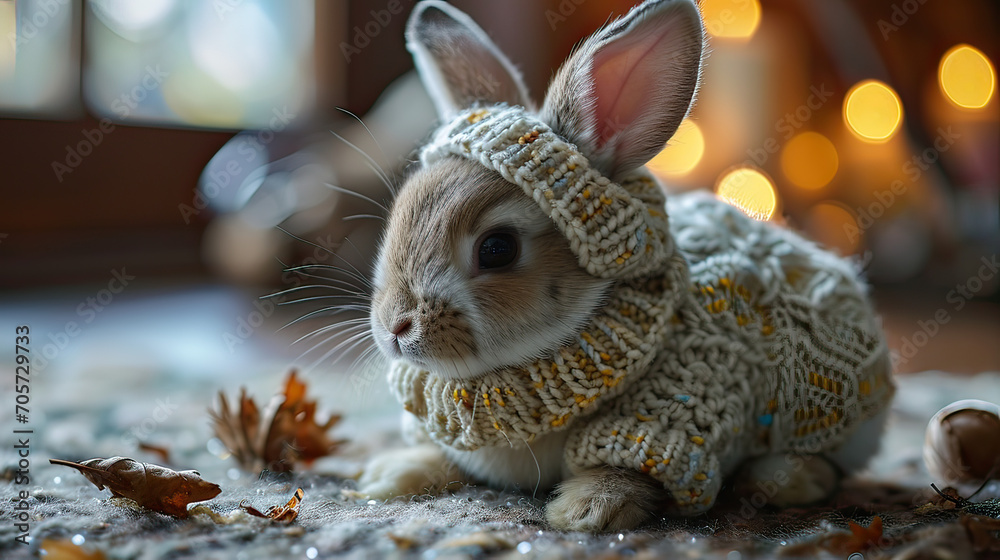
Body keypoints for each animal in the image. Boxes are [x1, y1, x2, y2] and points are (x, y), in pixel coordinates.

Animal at [359, 0, 895, 532]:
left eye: (496, 248)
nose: (395, 328)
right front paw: (387, 476)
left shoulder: (675, 411)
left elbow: (631, 465)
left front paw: (584, 510)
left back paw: (782, 480)